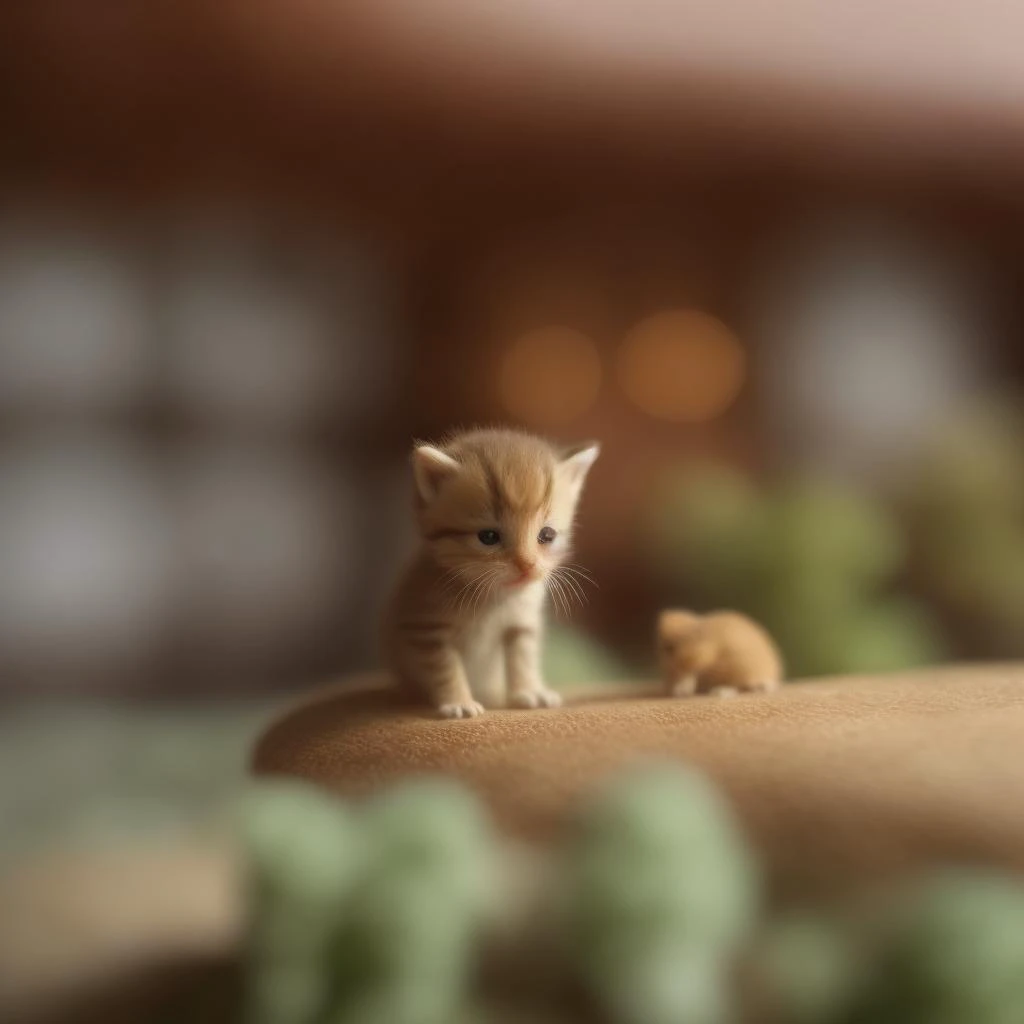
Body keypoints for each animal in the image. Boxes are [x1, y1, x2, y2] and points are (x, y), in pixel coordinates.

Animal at [387, 428, 602, 716]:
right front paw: (458, 702)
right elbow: (444, 667)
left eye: (547, 535)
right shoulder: (425, 628)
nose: (527, 564)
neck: (495, 597)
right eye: (488, 537)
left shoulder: (522, 623)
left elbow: (523, 657)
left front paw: (529, 691)